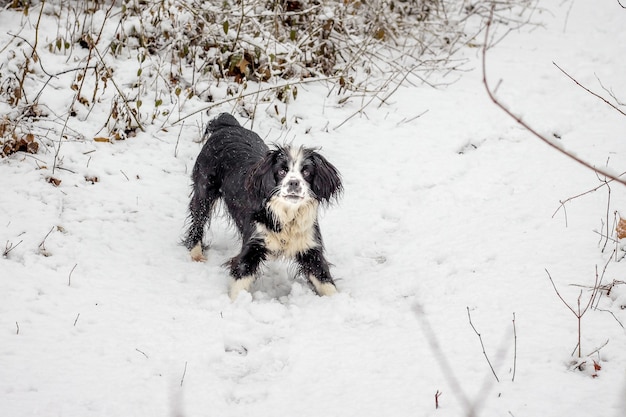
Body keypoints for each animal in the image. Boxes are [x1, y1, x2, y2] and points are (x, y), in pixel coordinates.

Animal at [183, 112, 342, 300]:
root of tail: (227, 124)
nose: (294, 183)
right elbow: (241, 275)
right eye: (281, 171)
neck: (286, 216)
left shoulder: (309, 246)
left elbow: (324, 279)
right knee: (198, 220)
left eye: (306, 171)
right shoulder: (254, 244)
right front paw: (236, 302)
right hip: (204, 189)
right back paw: (196, 254)